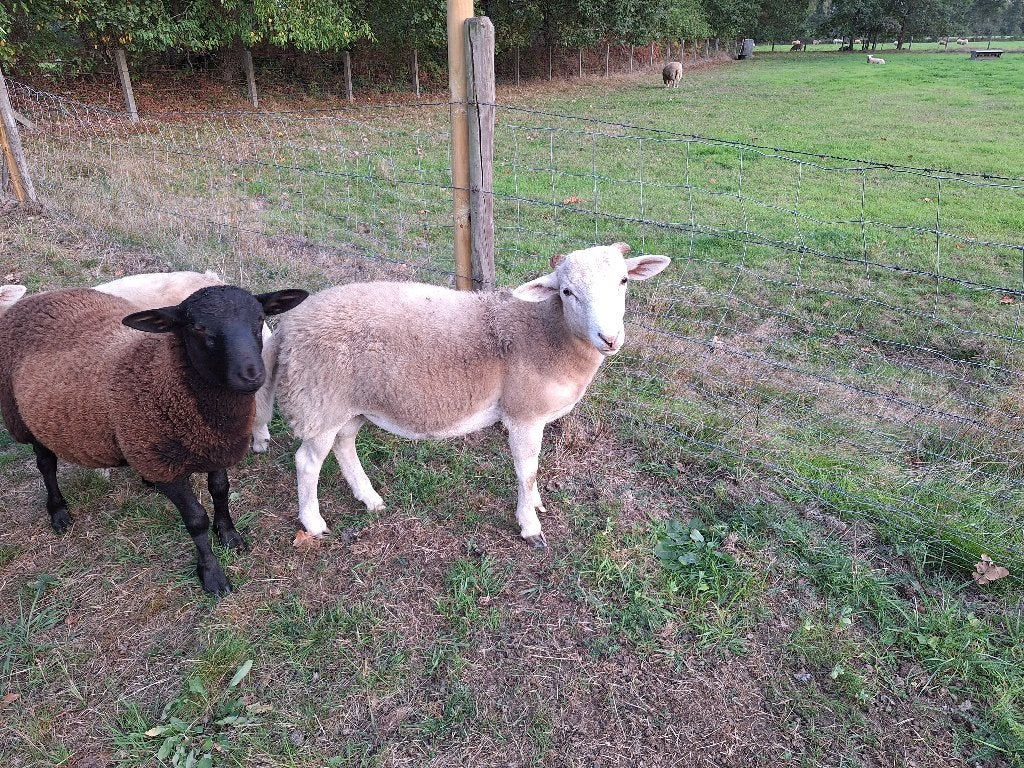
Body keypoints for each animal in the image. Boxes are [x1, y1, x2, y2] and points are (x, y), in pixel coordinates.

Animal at [0, 284, 308, 594]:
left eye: (259, 319)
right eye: (198, 328)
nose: (252, 375)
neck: (165, 376)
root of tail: (37, 298)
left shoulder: (215, 447)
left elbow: (220, 490)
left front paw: (229, 535)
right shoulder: (164, 463)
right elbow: (196, 520)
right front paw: (212, 574)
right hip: (24, 418)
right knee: (46, 465)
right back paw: (59, 512)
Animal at [253, 242, 671, 546]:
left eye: (624, 281)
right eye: (567, 292)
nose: (610, 338)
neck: (545, 332)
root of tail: (290, 324)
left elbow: (533, 471)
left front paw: (535, 504)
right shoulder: (523, 413)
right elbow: (527, 469)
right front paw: (529, 525)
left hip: (350, 402)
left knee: (344, 444)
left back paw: (369, 498)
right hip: (319, 399)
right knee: (307, 462)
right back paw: (314, 522)